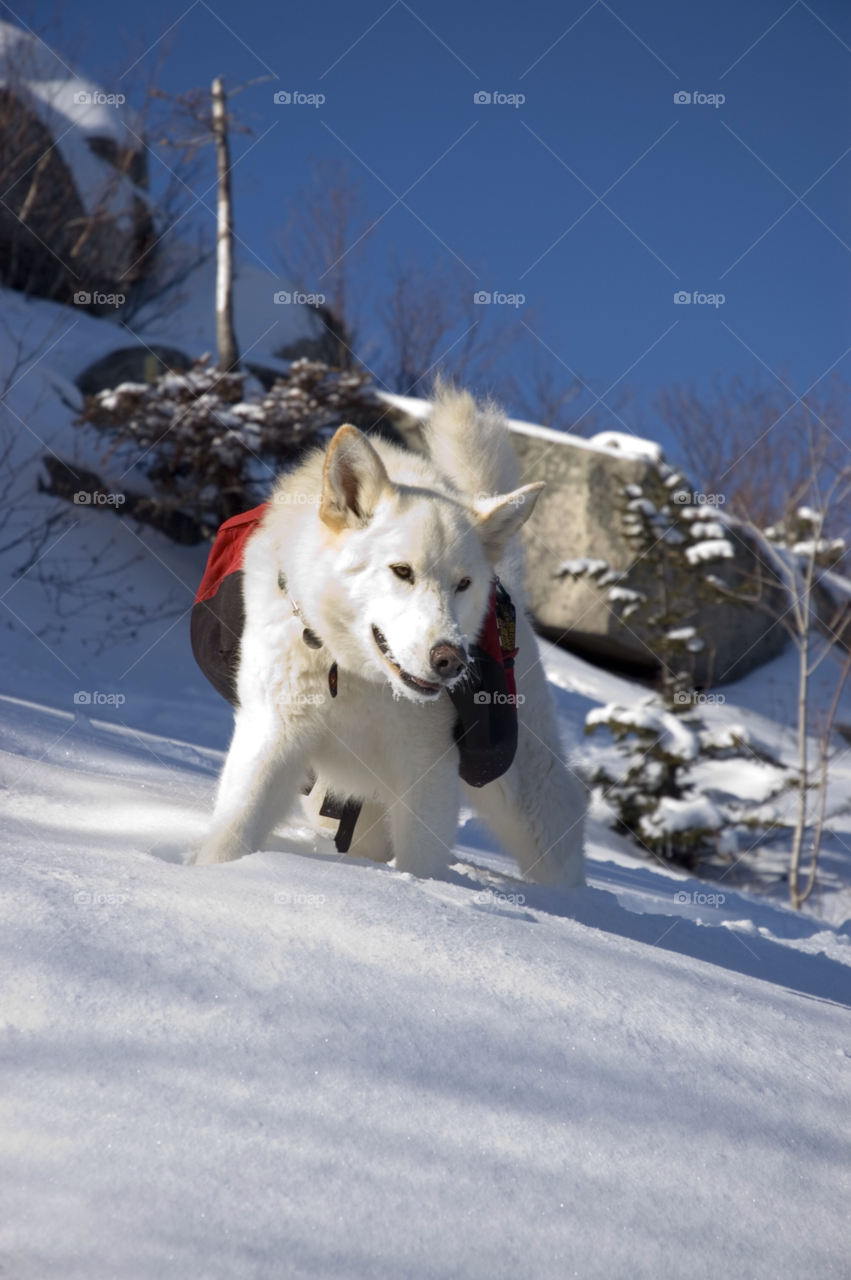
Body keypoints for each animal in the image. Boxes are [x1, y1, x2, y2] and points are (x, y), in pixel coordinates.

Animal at [194, 384, 583, 885]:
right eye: (402, 571)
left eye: (463, 584)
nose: (451, 661)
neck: (357, 678)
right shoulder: (272, 738)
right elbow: (231, 834)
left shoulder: (427, 774)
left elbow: (422, 866)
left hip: (519, 786)